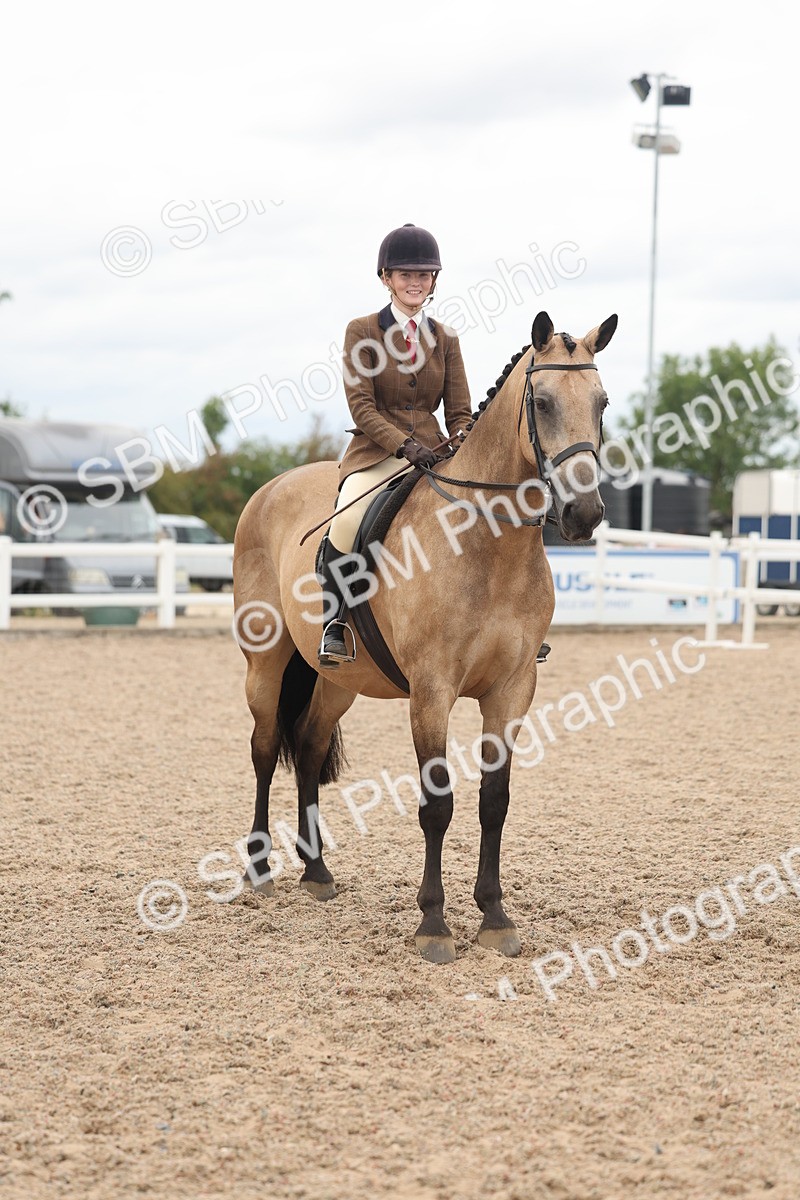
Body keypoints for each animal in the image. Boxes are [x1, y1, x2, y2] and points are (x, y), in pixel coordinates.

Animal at [232, 310, 617, 963]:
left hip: (340, 678)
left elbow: (494, 803)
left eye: (602, 402)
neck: (487, 545)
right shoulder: (432, 692)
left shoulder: (513, 690)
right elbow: (437, 806)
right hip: (265, 660)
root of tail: (269, 489)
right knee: (264, 749)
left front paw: (494, 917)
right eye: (540, 402)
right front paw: (433, 924)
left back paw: (317, 873)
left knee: (307, 748)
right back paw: (259, 869)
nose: (584, 514)